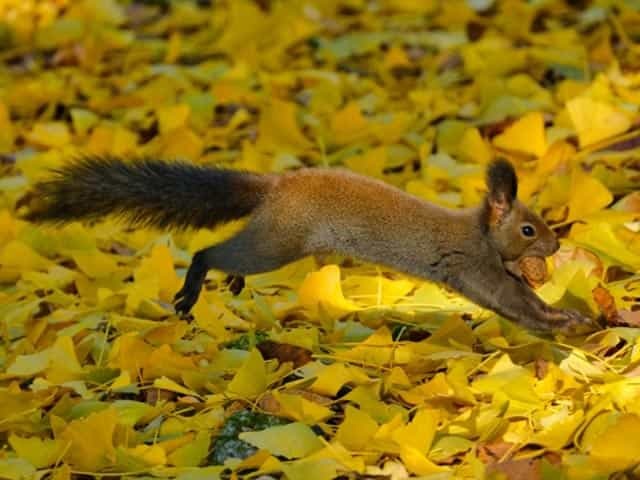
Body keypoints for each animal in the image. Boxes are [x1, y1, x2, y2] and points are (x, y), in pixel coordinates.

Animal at [26, 158, 596, 334]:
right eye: (529, 229)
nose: (555, 243)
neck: (480, 231)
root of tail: (275, 187)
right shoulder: (476, 267)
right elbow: (515, 304)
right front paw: (562, 322)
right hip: (278, 241)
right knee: (214, 252)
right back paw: (193, 288)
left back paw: (230, 284)